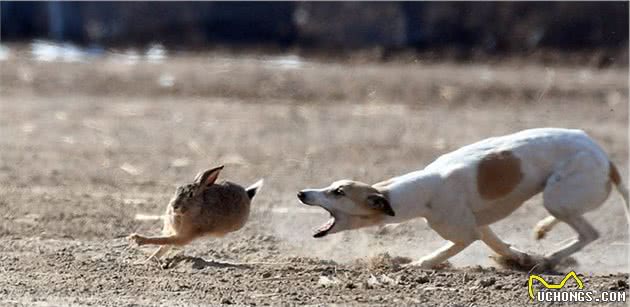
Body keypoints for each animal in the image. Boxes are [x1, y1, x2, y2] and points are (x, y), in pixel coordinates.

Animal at [298, 129, 628, 270]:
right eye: (333, 185)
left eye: (339, 192)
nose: (301, 193)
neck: (425, 187)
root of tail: (607, 161)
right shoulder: (479, 226)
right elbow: (500, 244)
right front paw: (519, 258)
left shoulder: (465, 233)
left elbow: (440, 254)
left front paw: (414, 265)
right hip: (559, 197)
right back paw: (543, 233)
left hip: (557, 197)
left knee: (590, 233)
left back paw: (551, 257)